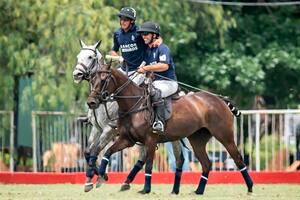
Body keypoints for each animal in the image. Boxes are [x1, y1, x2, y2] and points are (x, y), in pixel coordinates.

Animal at [72, 40, 185, 194]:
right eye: (78, 56)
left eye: (90, 57)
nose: (76, 74)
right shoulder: (97, 128)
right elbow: (88, 151)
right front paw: (93, 178)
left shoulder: (109, 129)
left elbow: (96, 150)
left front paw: (101, 177)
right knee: (144, 156)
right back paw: (126, 182)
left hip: (172, 136)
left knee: (178, 158)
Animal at [86, 62, 253, 194]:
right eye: (92, 80)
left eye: (103, 79)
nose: (91, 102)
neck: (133, 104)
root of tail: (221, 100)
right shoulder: (127, 139)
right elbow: (107, 152)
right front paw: (101, 175)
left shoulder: (150, 140)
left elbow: (148, 165)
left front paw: (146, 189)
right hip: (197, 139)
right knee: (206, 163)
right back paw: (198, 191)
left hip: (224, 135)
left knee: (238, 159)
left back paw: (250, 187)